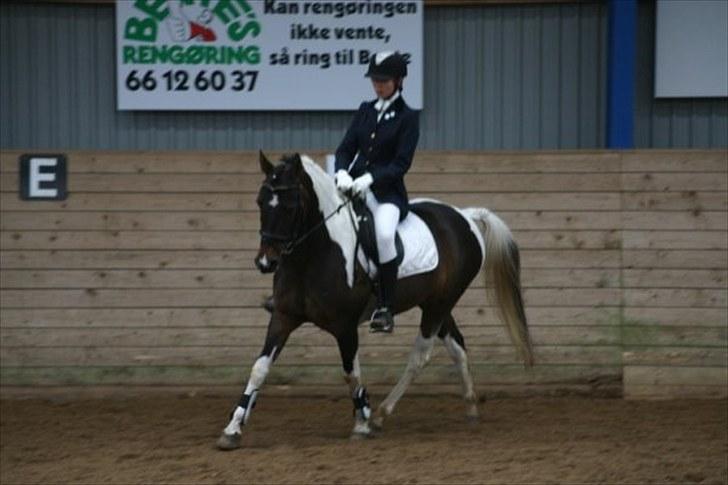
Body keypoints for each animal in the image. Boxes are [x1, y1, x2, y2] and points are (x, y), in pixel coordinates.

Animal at [216, 152, 533, 450]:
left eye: (291, 206)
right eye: (260, 201)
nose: (266, 262)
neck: (313, 254)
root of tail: (464, 216)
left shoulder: (345, 327)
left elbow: (351, 373)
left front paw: (362, 421)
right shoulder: (283, 317)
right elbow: (259, 369)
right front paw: (233, 429)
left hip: (440, 304)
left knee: (420, 356)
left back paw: (381, 414)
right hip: (435, 303)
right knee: (457, 346)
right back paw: (470, 407)